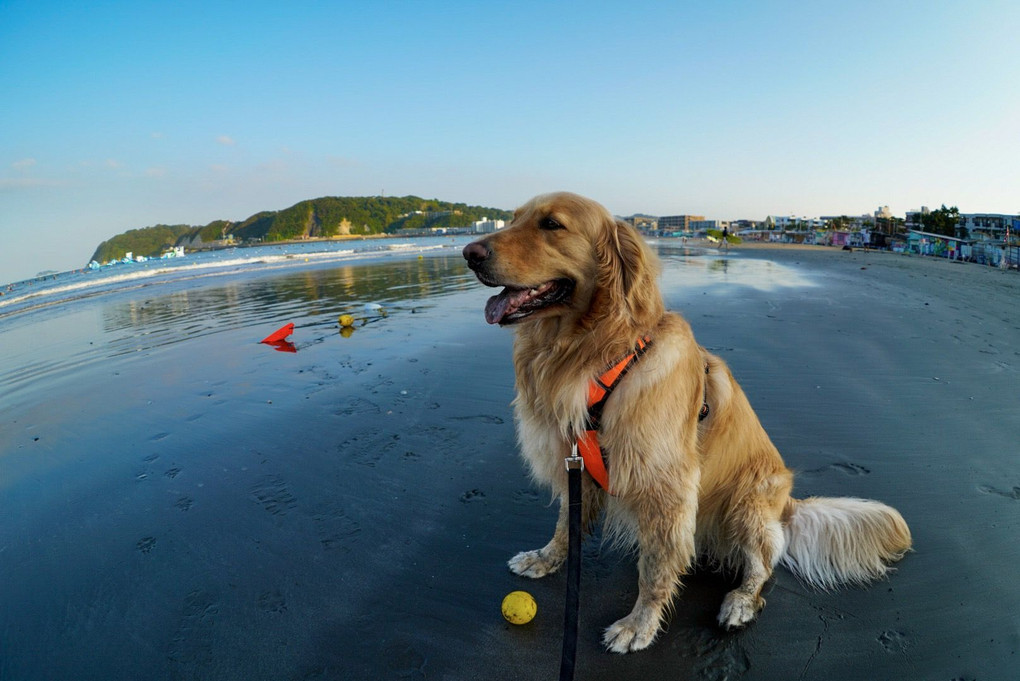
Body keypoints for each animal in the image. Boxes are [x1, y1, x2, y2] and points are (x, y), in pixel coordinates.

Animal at [463, 192, 909, 652]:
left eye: (551, 224)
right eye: (514, 219)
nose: (468, 253)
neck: (596, 352)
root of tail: (787, 505)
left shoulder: (666, 485)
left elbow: (656, 569)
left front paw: (639, 623)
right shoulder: (579, 468)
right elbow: (566, 527)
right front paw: (545, 558)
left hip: (748, 502)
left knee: (762, 566)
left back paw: (740, 602)